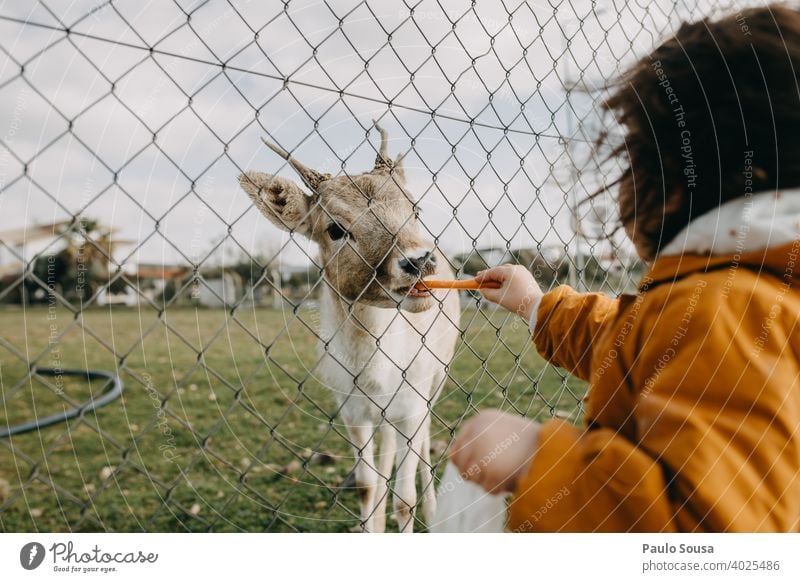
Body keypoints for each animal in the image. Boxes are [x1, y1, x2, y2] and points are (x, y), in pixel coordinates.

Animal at [238, 124, 460, 532]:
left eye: (415, 208)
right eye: (336, 228)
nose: (420, 261)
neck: (372, 374)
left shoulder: (412, 401)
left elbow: (405, 500)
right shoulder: (350, 408)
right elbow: (366, 488)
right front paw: (370, 521)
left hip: (438, 378)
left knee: (424, 445)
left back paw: (436, 514)